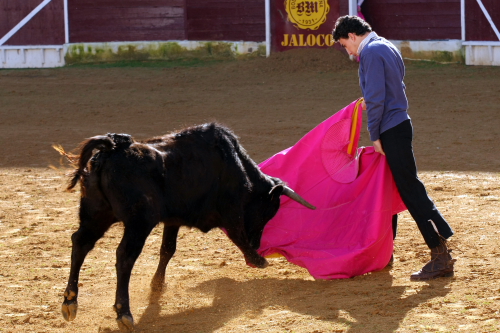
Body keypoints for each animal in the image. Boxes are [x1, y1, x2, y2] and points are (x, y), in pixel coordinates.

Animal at [59, 123, 316, 330]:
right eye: (269, 211)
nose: (258, 243)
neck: (238, 168)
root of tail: (111, 149)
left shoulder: (172, 220)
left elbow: (167, 249)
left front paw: (157, 287)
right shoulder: (231, 210)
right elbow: (237, 234)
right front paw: (258, 259)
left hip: (96, 213)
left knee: (81, 242)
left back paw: (70, 301)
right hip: (138, 222)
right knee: (124, 256)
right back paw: (124, 313)